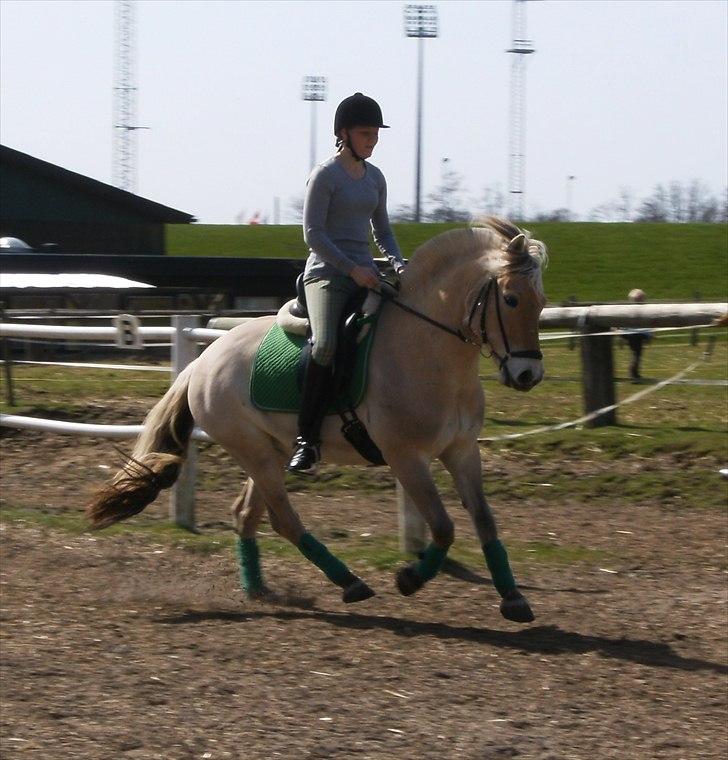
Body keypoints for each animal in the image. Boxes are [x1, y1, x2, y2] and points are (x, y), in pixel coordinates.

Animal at [88, 218, 544, 624]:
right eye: (510, 299)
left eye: (539, 302)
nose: (528, 375)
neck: (428, 352)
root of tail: (202, 361)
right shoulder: (406, 458)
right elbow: (445, 527)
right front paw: (410, 579)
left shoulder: (462, 451)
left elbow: (484, 521)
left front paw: (514, 598)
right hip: (253, 451)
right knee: (282, 520)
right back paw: (350, 583)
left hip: (268, 451)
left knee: (246, 514)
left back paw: (258, 589)